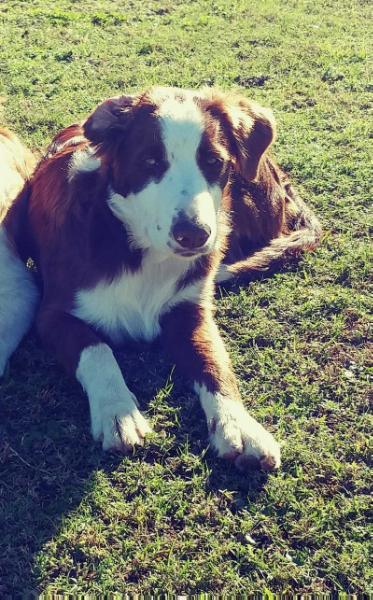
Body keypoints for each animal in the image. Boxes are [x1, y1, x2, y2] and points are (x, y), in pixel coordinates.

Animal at [2, 88, 320, 474]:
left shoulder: (191, 311)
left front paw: (239, 425)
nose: (193, 235)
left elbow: (215, 363)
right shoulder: (51, 315)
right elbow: (98, 350)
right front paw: (118, 411)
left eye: (214, 162)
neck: (137, 248)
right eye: (150, 162)